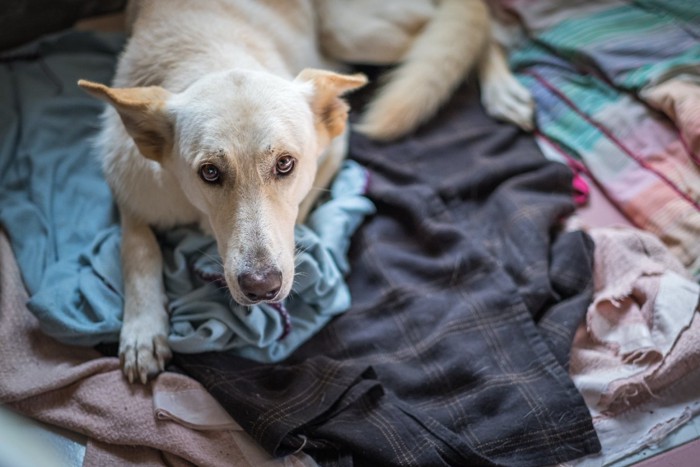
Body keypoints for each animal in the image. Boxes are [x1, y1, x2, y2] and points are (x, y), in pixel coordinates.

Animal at [78, 0, 532, 384]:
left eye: (285, 165)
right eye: (209, 172)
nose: (262, 287)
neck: (213, 53)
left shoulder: (334, 150)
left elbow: (303, 212)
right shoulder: (130, 189)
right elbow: (138, 249)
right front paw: (142, 329)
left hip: (355, 31)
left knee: (469, 29)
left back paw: (503, 90)